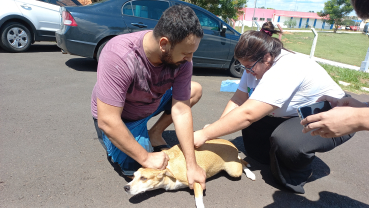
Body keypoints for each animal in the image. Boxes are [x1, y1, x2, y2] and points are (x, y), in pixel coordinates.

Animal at [123, 138, 253, 208]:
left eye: (143, 178)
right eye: (133, 176)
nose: (125, 187)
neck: (169, 168)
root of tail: (231, 144)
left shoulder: (197, 180)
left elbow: (198, 200)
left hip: (234, 170)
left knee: (241, 161)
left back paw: (250, 172)